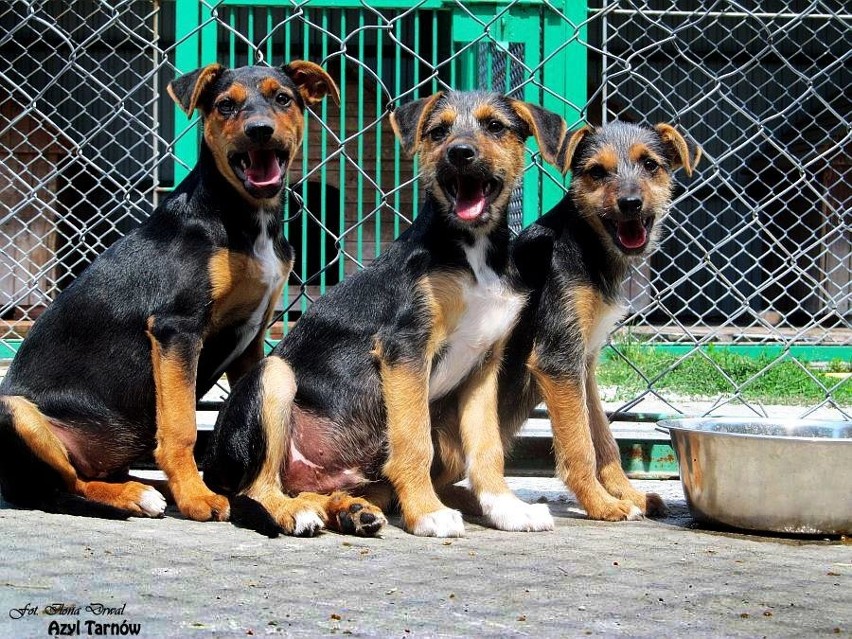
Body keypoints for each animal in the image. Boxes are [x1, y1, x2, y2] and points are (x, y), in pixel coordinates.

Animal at [0, 60, 340, 532]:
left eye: (283, 98)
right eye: (225, 105)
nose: (259, 130)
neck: (246, 218)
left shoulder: (251, 339)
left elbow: (249, 417)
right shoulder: (177, 327)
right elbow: (181, 426)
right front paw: (198, 498)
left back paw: (153, 488)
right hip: (15, 412)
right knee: (61, 487)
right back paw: (135, 495)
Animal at [203, 91, 568, 536]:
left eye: (495, 127)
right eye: (438, 132)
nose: (459, 153)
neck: (473, 252)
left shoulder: (483, 366)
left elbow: (487, 447)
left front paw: (507, 508)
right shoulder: (405, 350)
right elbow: (414, 441)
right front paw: (427, 512)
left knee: (312, 490)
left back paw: (351, 510)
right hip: (274, 378)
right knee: (258, 487)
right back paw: (294, 512)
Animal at [490, 122, 704, 524]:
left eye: (650, 165)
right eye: (597, 172)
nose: (631, 203)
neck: (587, 245)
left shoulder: (583, 364)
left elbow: (603, 438)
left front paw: (630, 495)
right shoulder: (558, 360)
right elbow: (580, 445)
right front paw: (600, 504)